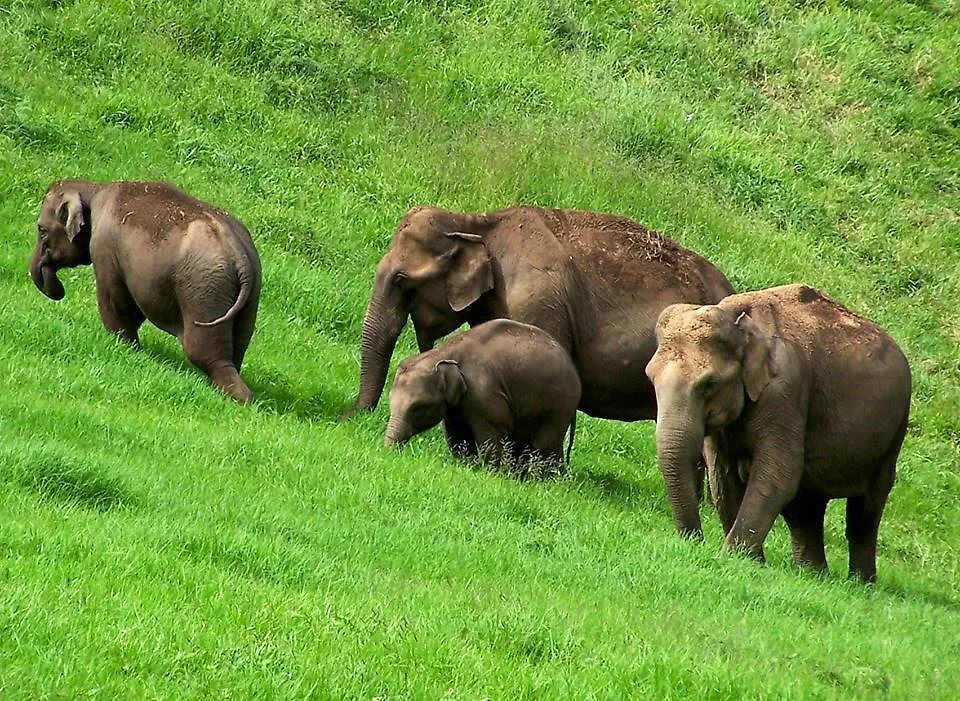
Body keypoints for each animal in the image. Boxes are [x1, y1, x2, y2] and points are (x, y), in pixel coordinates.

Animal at [30, 178, 262, 402]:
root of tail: (239, 254)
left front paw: (124, 346)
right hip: (248, 296)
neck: (94, 189)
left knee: (206, 354)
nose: (58, 290)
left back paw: (241, 400)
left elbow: (117, 304)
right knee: (237, 349)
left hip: (204, 292)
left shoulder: (104, 249)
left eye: (41, 230)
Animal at [384, 320, 580, 474]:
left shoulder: (485, 395)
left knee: (545, 445)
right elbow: (457, 437)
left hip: (560, 405)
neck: (445, 352)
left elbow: (489, 438)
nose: (390, 453)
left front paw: (493, 474)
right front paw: (466, 466)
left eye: (418, 407)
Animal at [644, 282, 908, 584]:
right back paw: (813, 575)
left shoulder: (784, 390)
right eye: (650, 377)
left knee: (865, 511)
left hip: (893, 434)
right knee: (806, 508)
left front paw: (734, 559)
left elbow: (778, 473)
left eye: (709, 383)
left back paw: (859, 584)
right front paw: (752, 562)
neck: (738, 318)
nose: (695, 540)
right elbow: (722, 477)